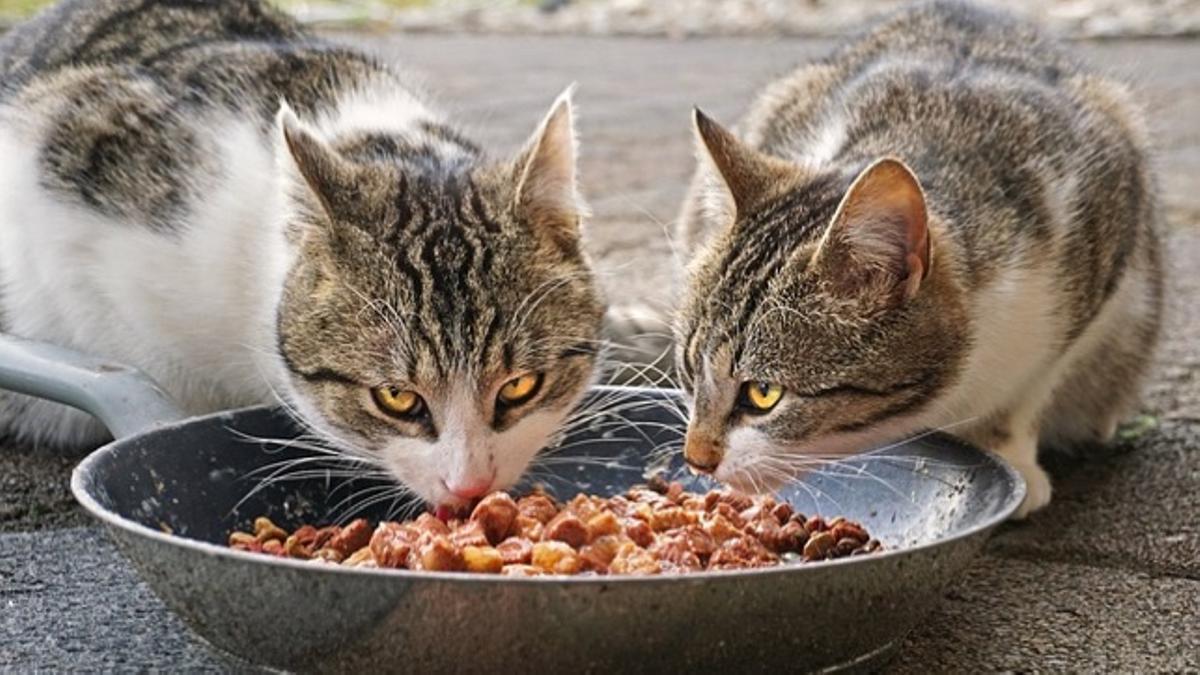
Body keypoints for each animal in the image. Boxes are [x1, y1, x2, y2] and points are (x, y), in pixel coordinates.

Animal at [672, 0, 1156, 514]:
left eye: (764, 394)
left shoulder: (1104, 230)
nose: (696, 459)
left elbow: (1029, 390)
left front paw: (1010, 454)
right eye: (689, 370)